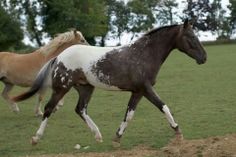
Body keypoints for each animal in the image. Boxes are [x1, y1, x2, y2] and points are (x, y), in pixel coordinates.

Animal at [12, 19, 206, 146]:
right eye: (191, 37)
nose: (204, 57)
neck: (143, 55)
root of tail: (58, 57)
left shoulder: (138, 91)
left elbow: (129, 114)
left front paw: (116, 138)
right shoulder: (145, 88)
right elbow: (163, 106)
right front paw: (178, 133)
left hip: (85, 88)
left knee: (80, 109)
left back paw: (98, 136)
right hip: (62, 88)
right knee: (49, 109)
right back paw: (36, 138)